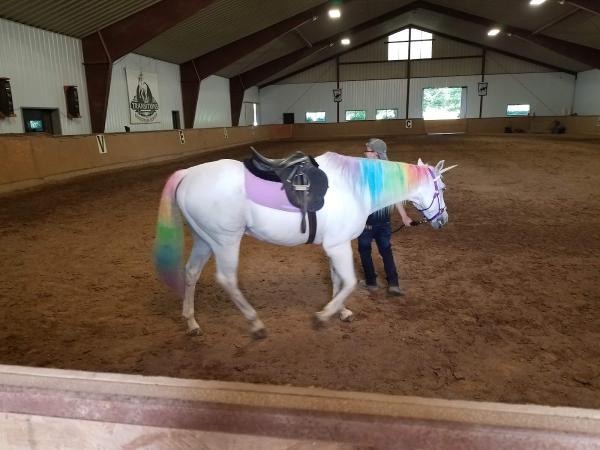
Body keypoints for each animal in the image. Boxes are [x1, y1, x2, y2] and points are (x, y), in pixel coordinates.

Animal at [155, 151, 454, 338]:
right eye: (442, 189)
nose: (443, 220)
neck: (355, 187)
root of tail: (187, 174)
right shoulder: (337, 246)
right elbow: (348, 282)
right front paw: (324, 315)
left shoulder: (335, 245)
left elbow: (338, 280)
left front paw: (341, 311)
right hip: (225, 241)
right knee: (227, 280)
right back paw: (255, 324)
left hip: (205, 240)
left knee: (191, 273)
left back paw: (192, 322)